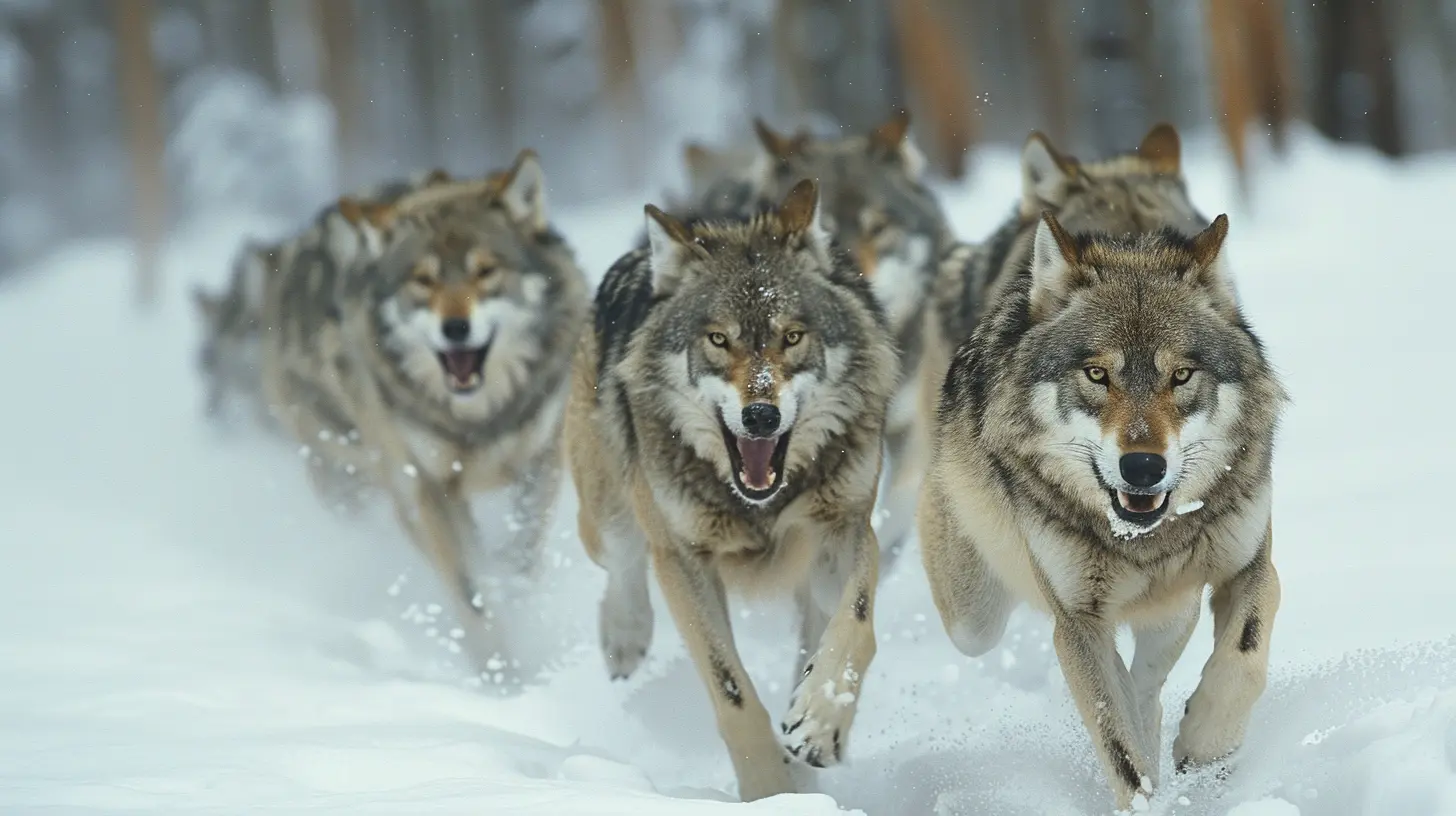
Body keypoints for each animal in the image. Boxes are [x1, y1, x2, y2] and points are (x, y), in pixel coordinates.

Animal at [258, 151, 588, 670]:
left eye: (485, 271)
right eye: (423, 280)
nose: (455, 328)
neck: (475, 420)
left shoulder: (543, 461)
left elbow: (522, 554)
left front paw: (519, 606)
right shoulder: (422, 487)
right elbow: (470, 589)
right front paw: (499, 671)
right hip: (350, 480)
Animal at [565, 179, 899, 800]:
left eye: (792, 337)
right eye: (718, 339)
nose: (761, 416)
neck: (759, 505)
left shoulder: (845, 530)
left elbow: (856, 626)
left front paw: (819, 725)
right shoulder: (682, 559)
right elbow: (732, 691)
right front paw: (770, 792)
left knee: (811, 638)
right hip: (609, 516)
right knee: (621, 564)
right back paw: (625, 636)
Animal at [918, 205, 1286, 808]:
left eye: (1181, 375)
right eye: (1097, 374)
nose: (1142, 467)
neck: (1145, 539)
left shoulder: (1251, 567)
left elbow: (1244, 657)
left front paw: (1208, 744)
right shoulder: (1078, 625)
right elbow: (1119, 750)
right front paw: (1144, 801)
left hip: (1171, 614)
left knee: (1147, 689)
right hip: (974, 620)